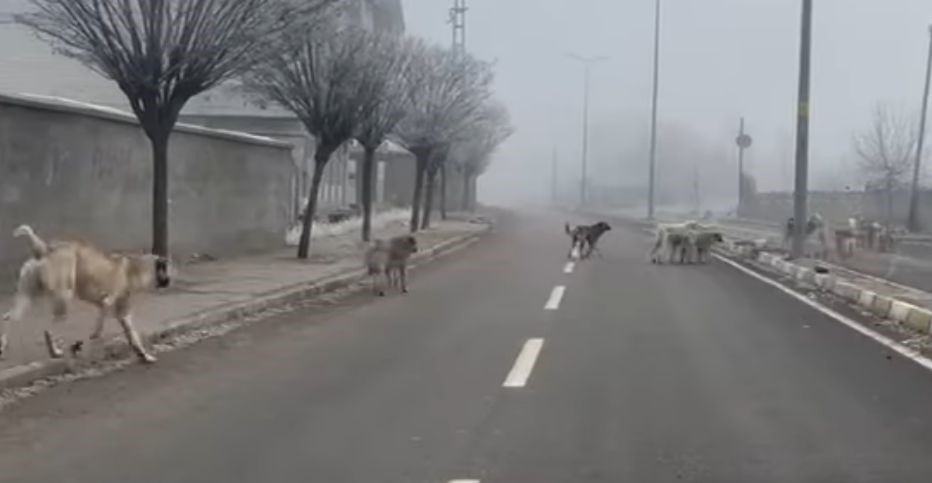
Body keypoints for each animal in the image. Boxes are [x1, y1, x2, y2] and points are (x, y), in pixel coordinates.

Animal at [0, 226, 172, 364]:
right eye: (165, 270)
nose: (169, 281)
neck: (136, 268)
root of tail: (44, 249)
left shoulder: (113, 307)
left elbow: (125, 331)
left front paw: (143, 355)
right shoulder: (114, 305)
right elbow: (114, 328)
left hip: (27, 296)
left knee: (10, 318)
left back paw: (3, 345)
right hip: (64, 296)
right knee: (48, 329)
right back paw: (58, 350)